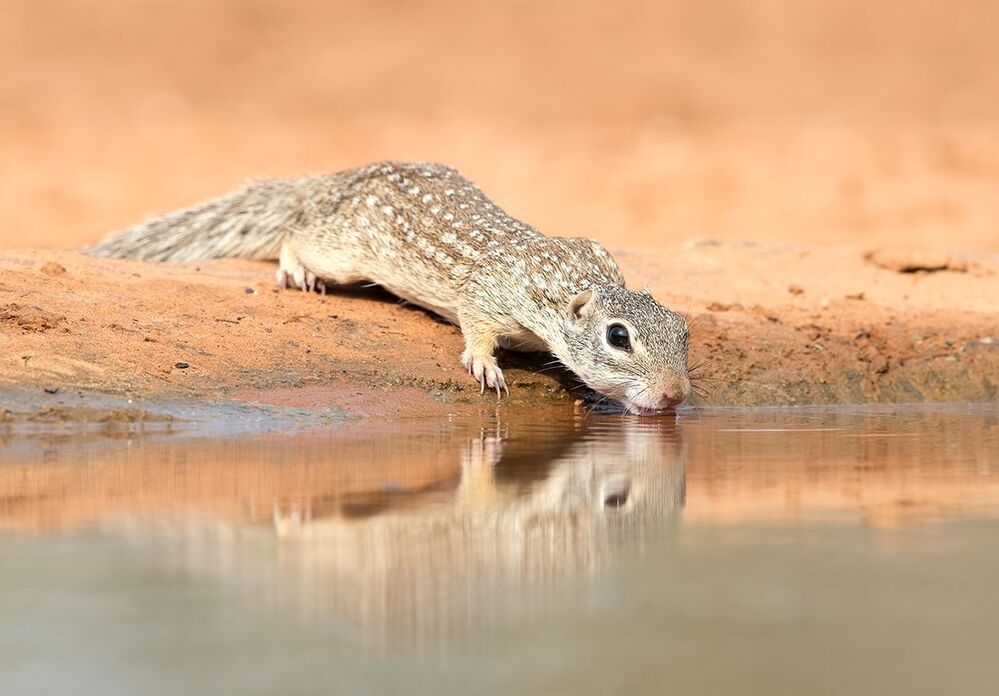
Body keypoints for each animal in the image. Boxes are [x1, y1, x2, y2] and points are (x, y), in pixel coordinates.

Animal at [86, 161, 691, 414]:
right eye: (618, 337)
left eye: (684, 332)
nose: (676, 396)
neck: (567, 279)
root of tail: (344, 177)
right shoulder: (490, 292)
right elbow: (476, 324)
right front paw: (485, 364)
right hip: (345, 251)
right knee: (298, 234)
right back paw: (296, 269)